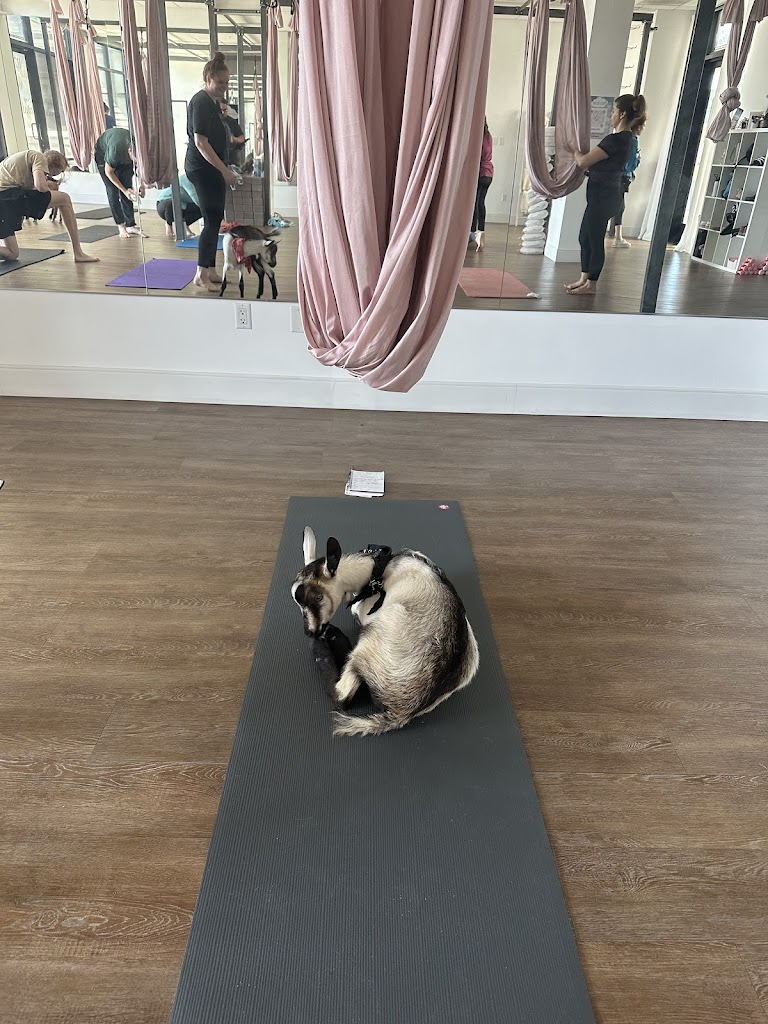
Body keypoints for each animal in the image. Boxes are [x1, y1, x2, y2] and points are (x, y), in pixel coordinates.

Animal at [292, 528, 480, 737]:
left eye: (318, 597)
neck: (379, 569)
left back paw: (325, 644)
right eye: (297, 602)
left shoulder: (366, 612)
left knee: (343, 694)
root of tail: (402, 712)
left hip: (373, 637)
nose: (310, 632)